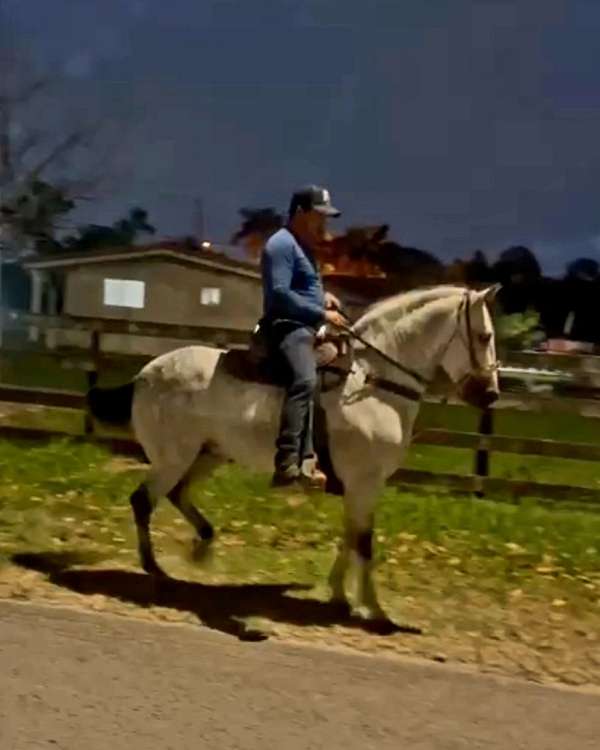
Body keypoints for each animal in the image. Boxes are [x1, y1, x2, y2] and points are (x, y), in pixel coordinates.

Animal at [88, 284, 502, 632]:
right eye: (485, 336)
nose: (491, 395)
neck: (372, 383)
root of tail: (145, 375)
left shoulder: (359, 487)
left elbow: (350, 536)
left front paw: (339, 597)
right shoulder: (365, 483)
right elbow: (363, 543)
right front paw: (375, 611)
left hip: (208, 455)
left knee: (176, 495)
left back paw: (201, 546)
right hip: (175, 457)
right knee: (143, 501)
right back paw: (155, 570)